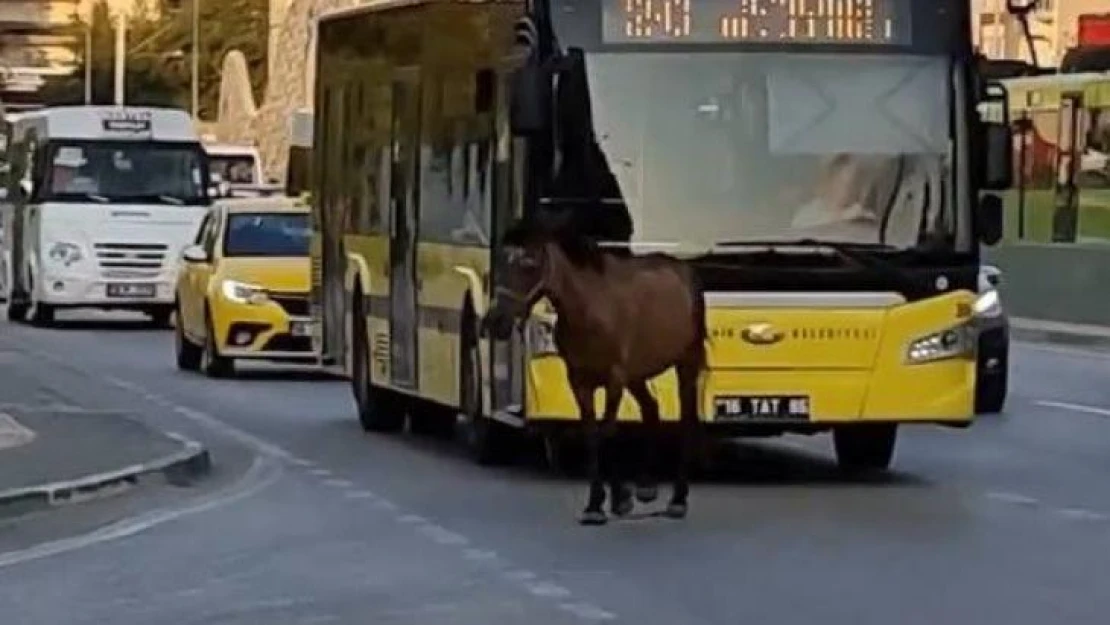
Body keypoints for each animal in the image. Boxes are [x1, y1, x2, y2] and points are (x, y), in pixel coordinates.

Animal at [481, 213, 705, 526]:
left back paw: (678, 500)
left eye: (529, 263)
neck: (589, 308)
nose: (495, 321)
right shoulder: (580, 382)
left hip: (685, 363)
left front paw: (610, 500)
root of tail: (683, 269)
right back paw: (646, 486)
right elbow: (591, 436)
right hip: (637, 374)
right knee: (651, 408)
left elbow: (606, 432)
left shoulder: (614, 379)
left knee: (687, 420)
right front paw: (604, 501)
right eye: (502, 260)